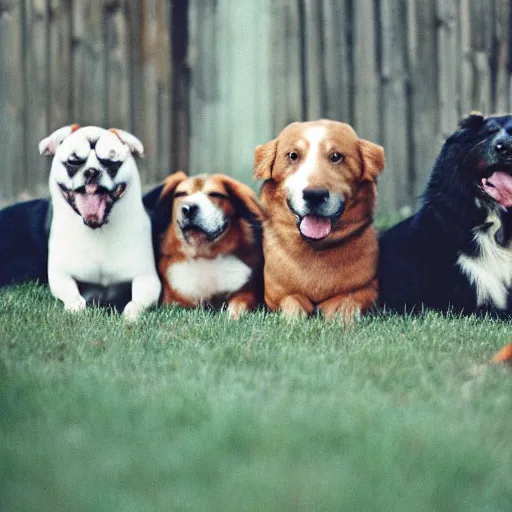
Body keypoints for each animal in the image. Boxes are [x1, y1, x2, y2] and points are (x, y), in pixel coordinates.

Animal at [156, 172, 264, 316]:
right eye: (180, 194)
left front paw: (232, 315)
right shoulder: (174, 300)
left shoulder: (247, 292)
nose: (188, 209)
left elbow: (239, 304)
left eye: (215, 194)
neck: (205, 254)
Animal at [254, 118, 386, 322]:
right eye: (293, 155)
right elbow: (291, 301)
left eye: (336, 156)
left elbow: (349, 302)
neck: (315, 248)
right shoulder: (274, 296)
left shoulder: (369, 289)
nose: (314, 195)